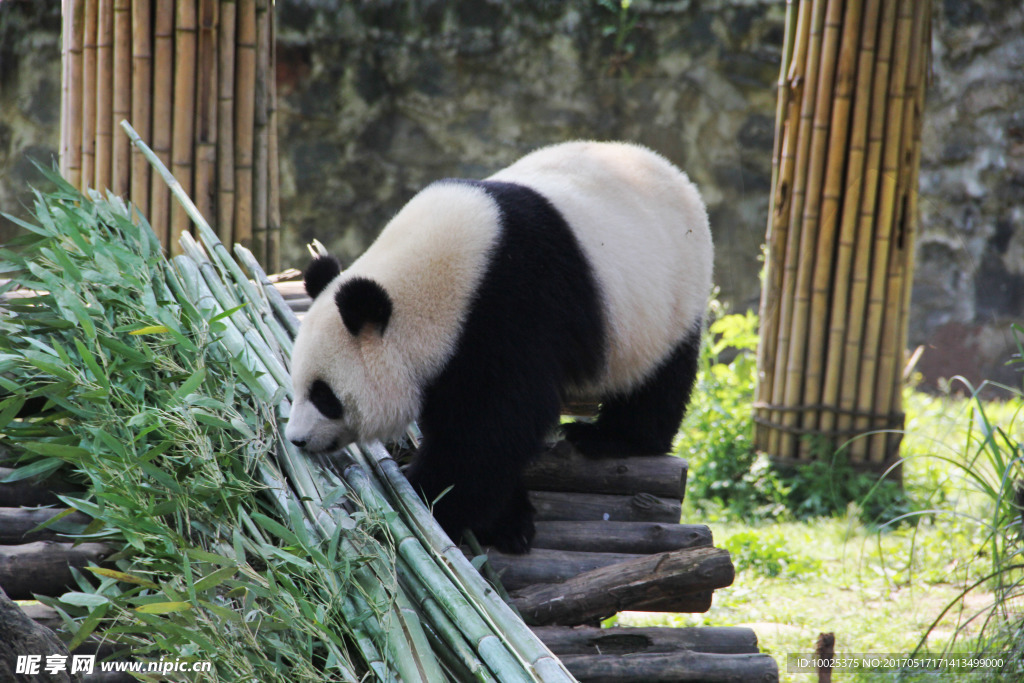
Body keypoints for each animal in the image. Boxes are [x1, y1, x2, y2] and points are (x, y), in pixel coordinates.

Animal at [286, 141, 712, 552]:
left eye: (324, 396)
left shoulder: (510, 309)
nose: (297, 439)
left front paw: (431, 496)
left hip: (667, 298)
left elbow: (491, 430)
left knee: (659, 380)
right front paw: (507, 521)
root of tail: (675, 173)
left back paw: (612, 437)